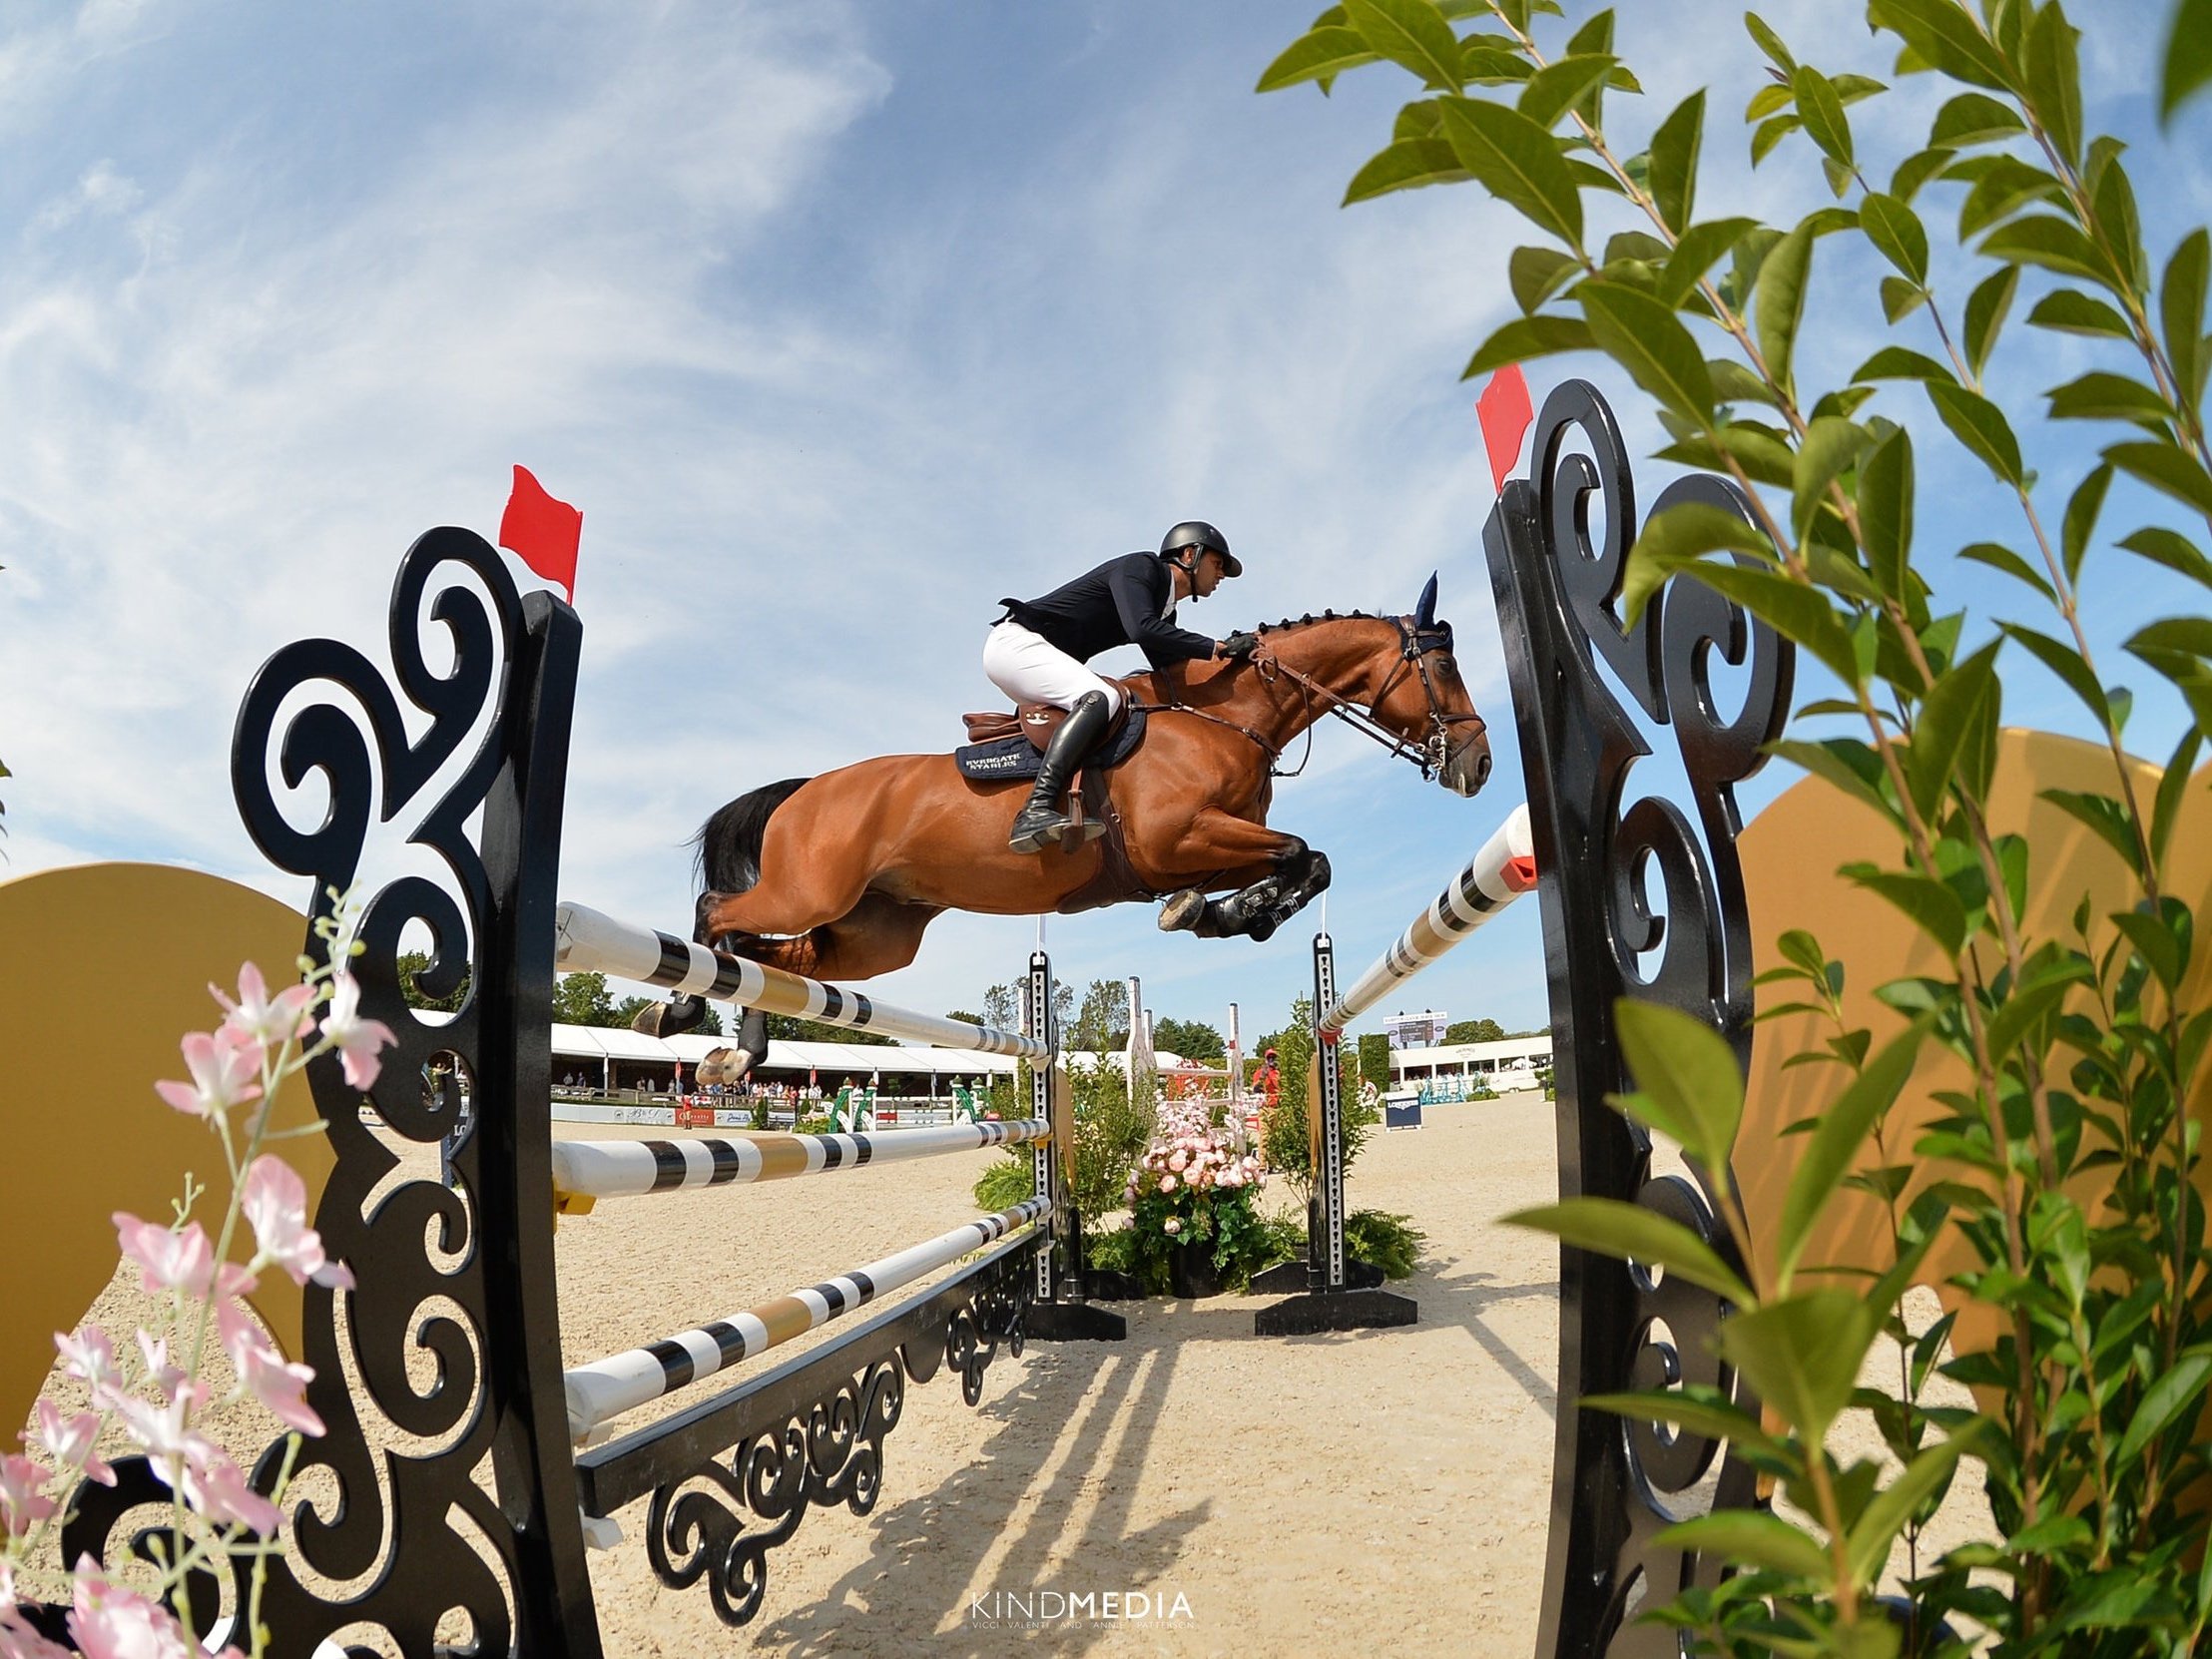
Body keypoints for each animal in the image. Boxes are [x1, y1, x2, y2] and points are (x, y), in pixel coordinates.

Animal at [646, 575, 1495, 1066]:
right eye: (1444, 666)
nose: (1480, 765)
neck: (1226, 718)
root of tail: (804, 790)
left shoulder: (1201, 850)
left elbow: (1306, 861)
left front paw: (1224, 915)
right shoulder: (1175, 841)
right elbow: (1300, 853)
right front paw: (1221, 915)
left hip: (874, 937)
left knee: (777, 963)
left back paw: (740, 1047)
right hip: (810, 890)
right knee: (718, 912)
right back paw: (684, 1005)